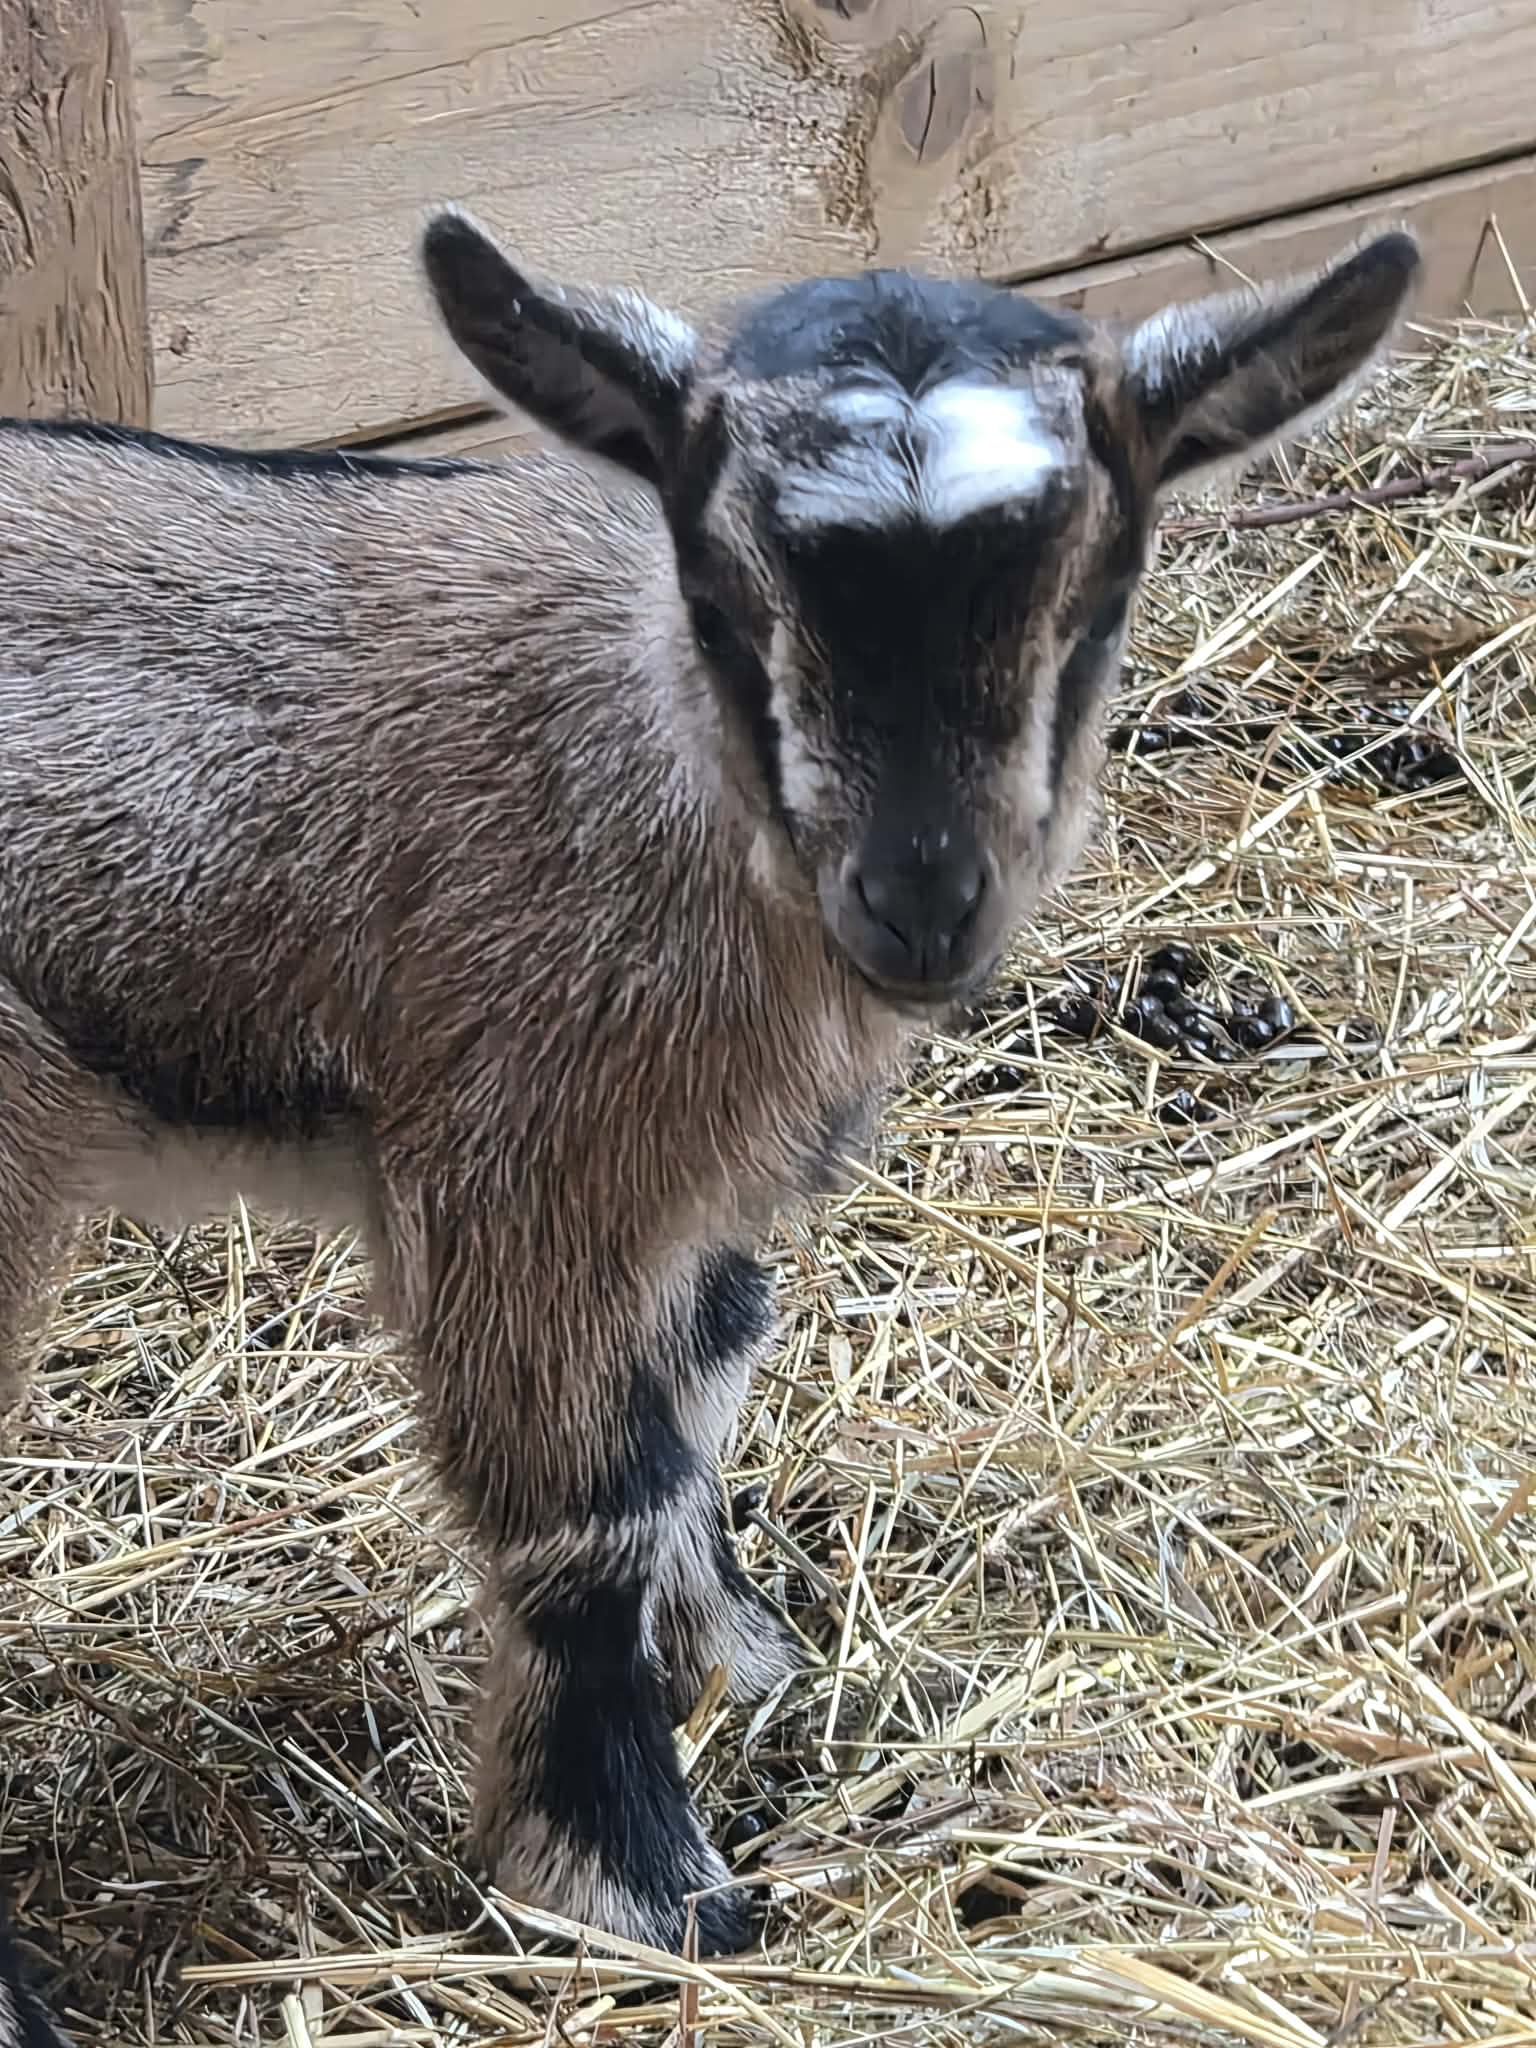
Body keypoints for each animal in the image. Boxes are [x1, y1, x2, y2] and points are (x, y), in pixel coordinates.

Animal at [0, 211, 1418, 1952]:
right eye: (721, 604)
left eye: (1093, 604)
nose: (919, 902)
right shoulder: (517, 1157)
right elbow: (592, 1511)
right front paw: (638, 1887)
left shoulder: (693, 1185)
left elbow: (706, 1387)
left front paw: (749, 1670)